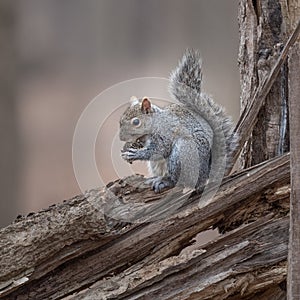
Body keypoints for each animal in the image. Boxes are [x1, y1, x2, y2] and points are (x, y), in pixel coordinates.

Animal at [118, 48, 238, 192]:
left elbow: (159, 150)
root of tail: (204, 175)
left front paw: (134, 154)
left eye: (136, 122)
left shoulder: (165, 133)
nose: (121, 137)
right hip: (158, 164)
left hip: (182, 154)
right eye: (120, 120)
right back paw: (156, 178)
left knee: (180, 181)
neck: (156, 122)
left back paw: (165, 181)